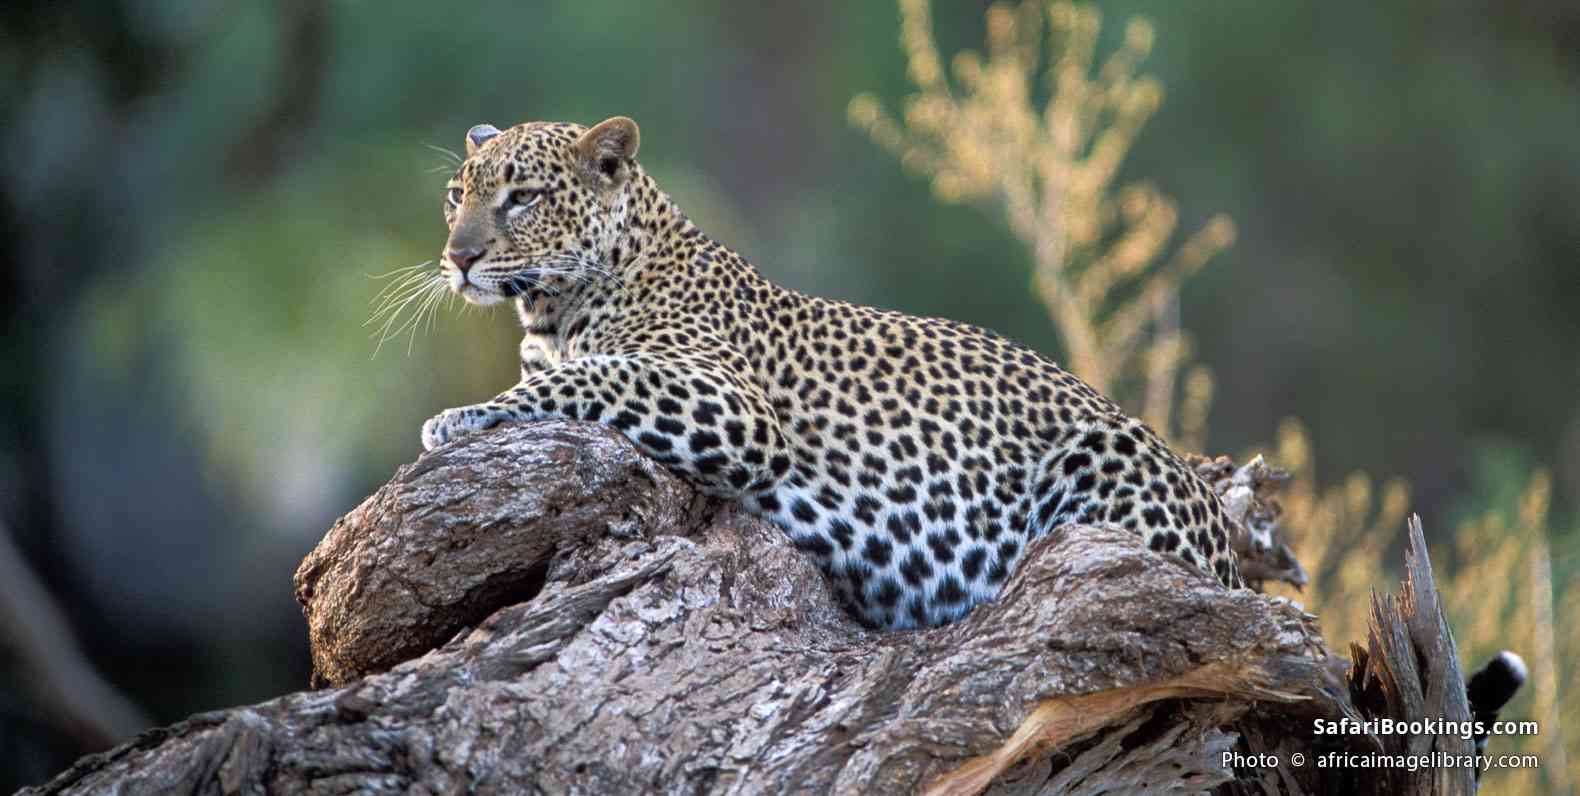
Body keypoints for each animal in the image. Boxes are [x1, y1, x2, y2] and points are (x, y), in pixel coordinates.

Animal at [417, 116, 1243, 630]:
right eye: (457, 195)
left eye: (523, 198)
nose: (458, 257)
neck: (550, 315)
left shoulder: (730, 403)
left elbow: (590, 379)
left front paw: (457, 418)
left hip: (1108, 450)